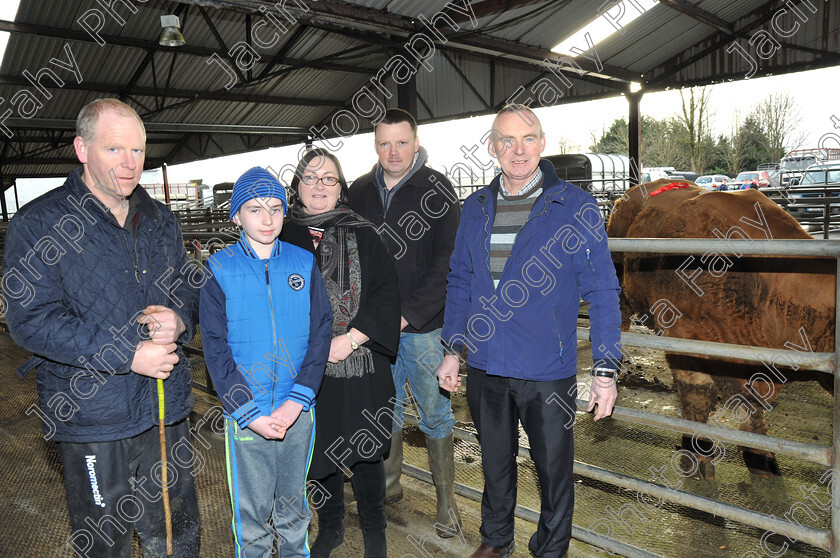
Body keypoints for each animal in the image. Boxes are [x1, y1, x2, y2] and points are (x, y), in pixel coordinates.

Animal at [608, 180, 836, 482]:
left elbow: (753, 403)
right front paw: (697, 451)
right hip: (619, 292)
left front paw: (759, 454)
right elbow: (698, 396)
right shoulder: (684, 339)